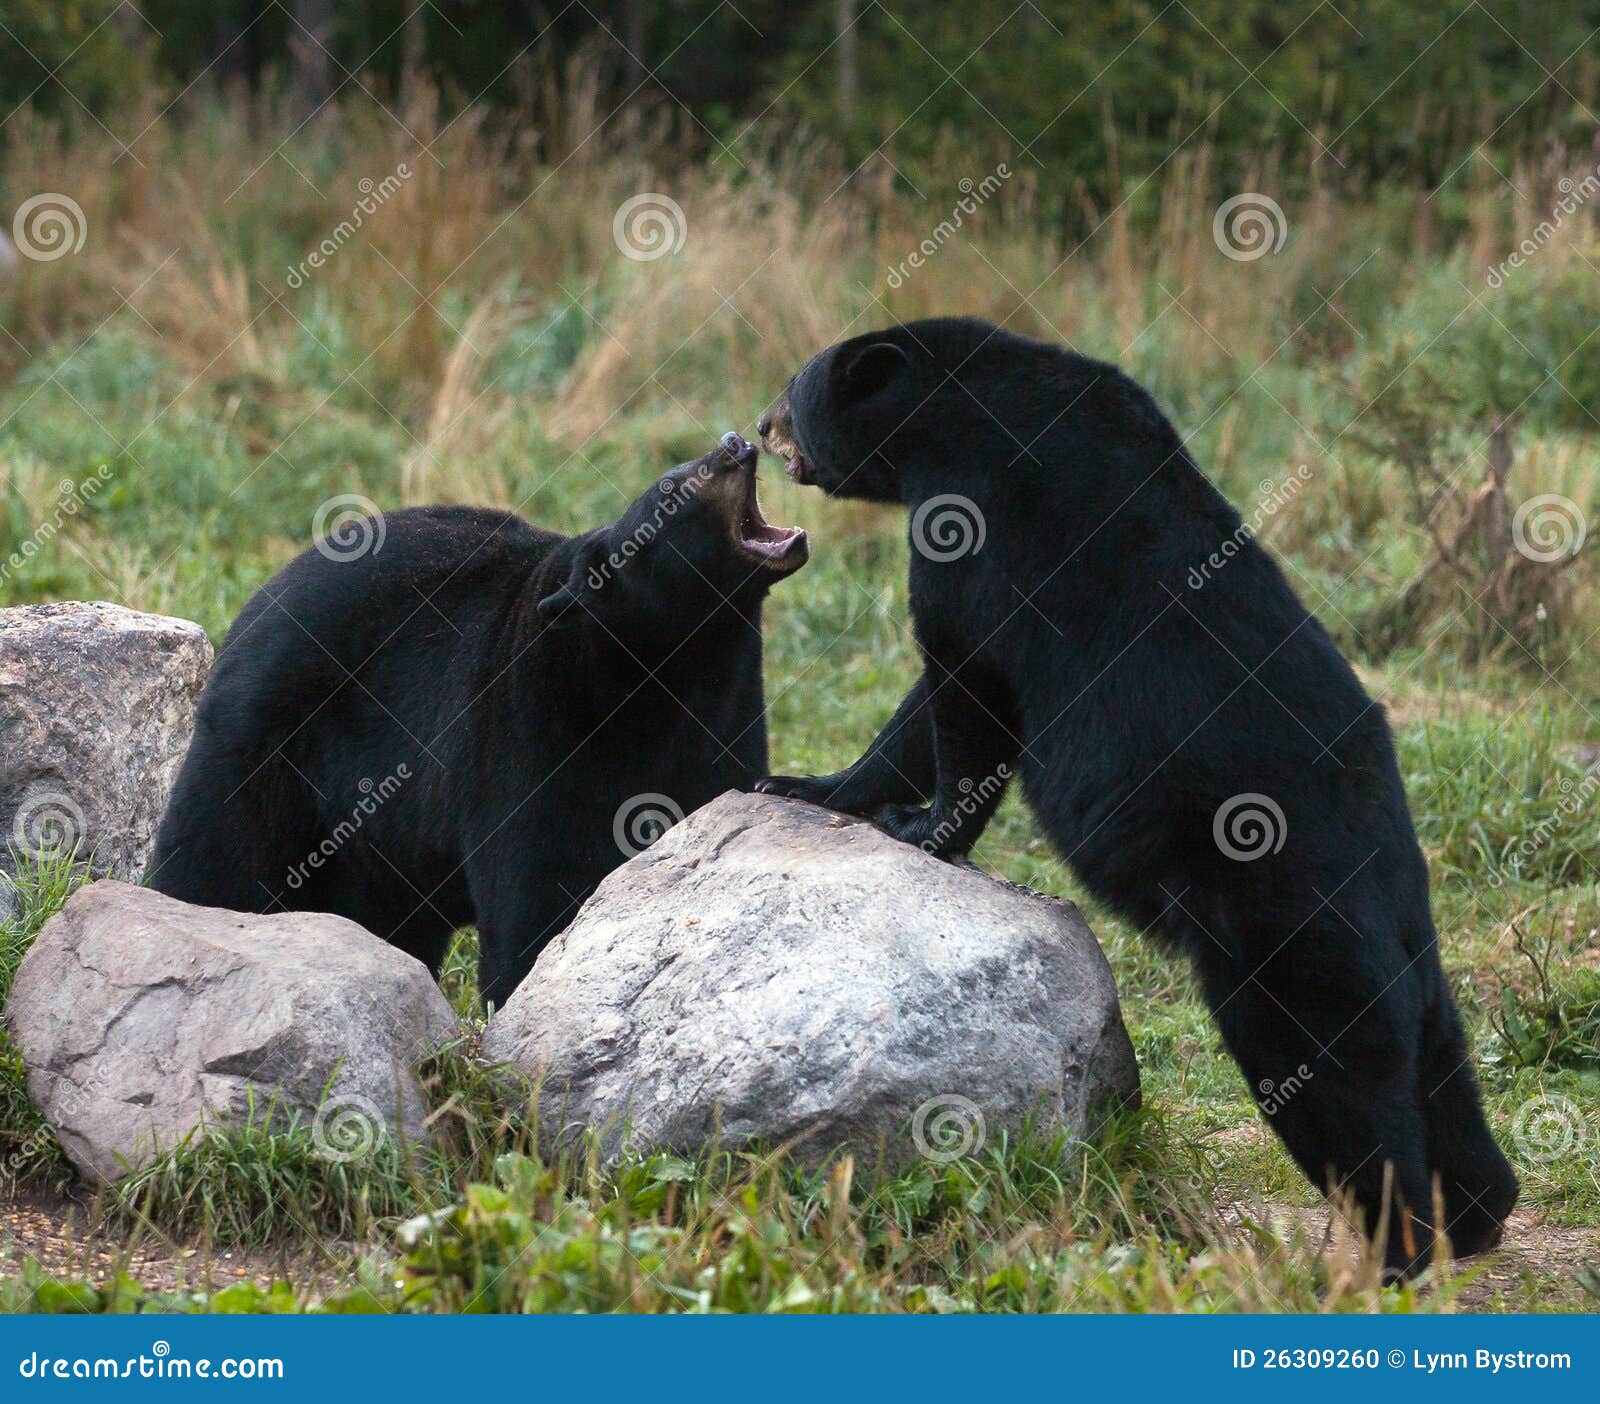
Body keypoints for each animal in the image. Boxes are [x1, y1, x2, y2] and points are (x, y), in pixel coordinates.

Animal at [154, 434, 806, 1004]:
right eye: (672, 486)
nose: (734, 443)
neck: (658, 670)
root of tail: (255, 603)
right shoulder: (532, 730)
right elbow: (534, 894)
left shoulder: (725, 716)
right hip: (264, 741)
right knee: (212, 856)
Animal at [755, 316, 1516, 1272]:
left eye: (796, 387)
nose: (761, 427)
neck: (953, 411)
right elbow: (920, 707)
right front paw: (809, 781)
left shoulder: (978, 516)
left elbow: (964, 678)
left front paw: (923, 826)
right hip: (1410, 938)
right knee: (1440, 1060)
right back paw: (1484, 1213)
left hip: (1289, 933)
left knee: (1337, 1073)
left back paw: (1391, 1252)